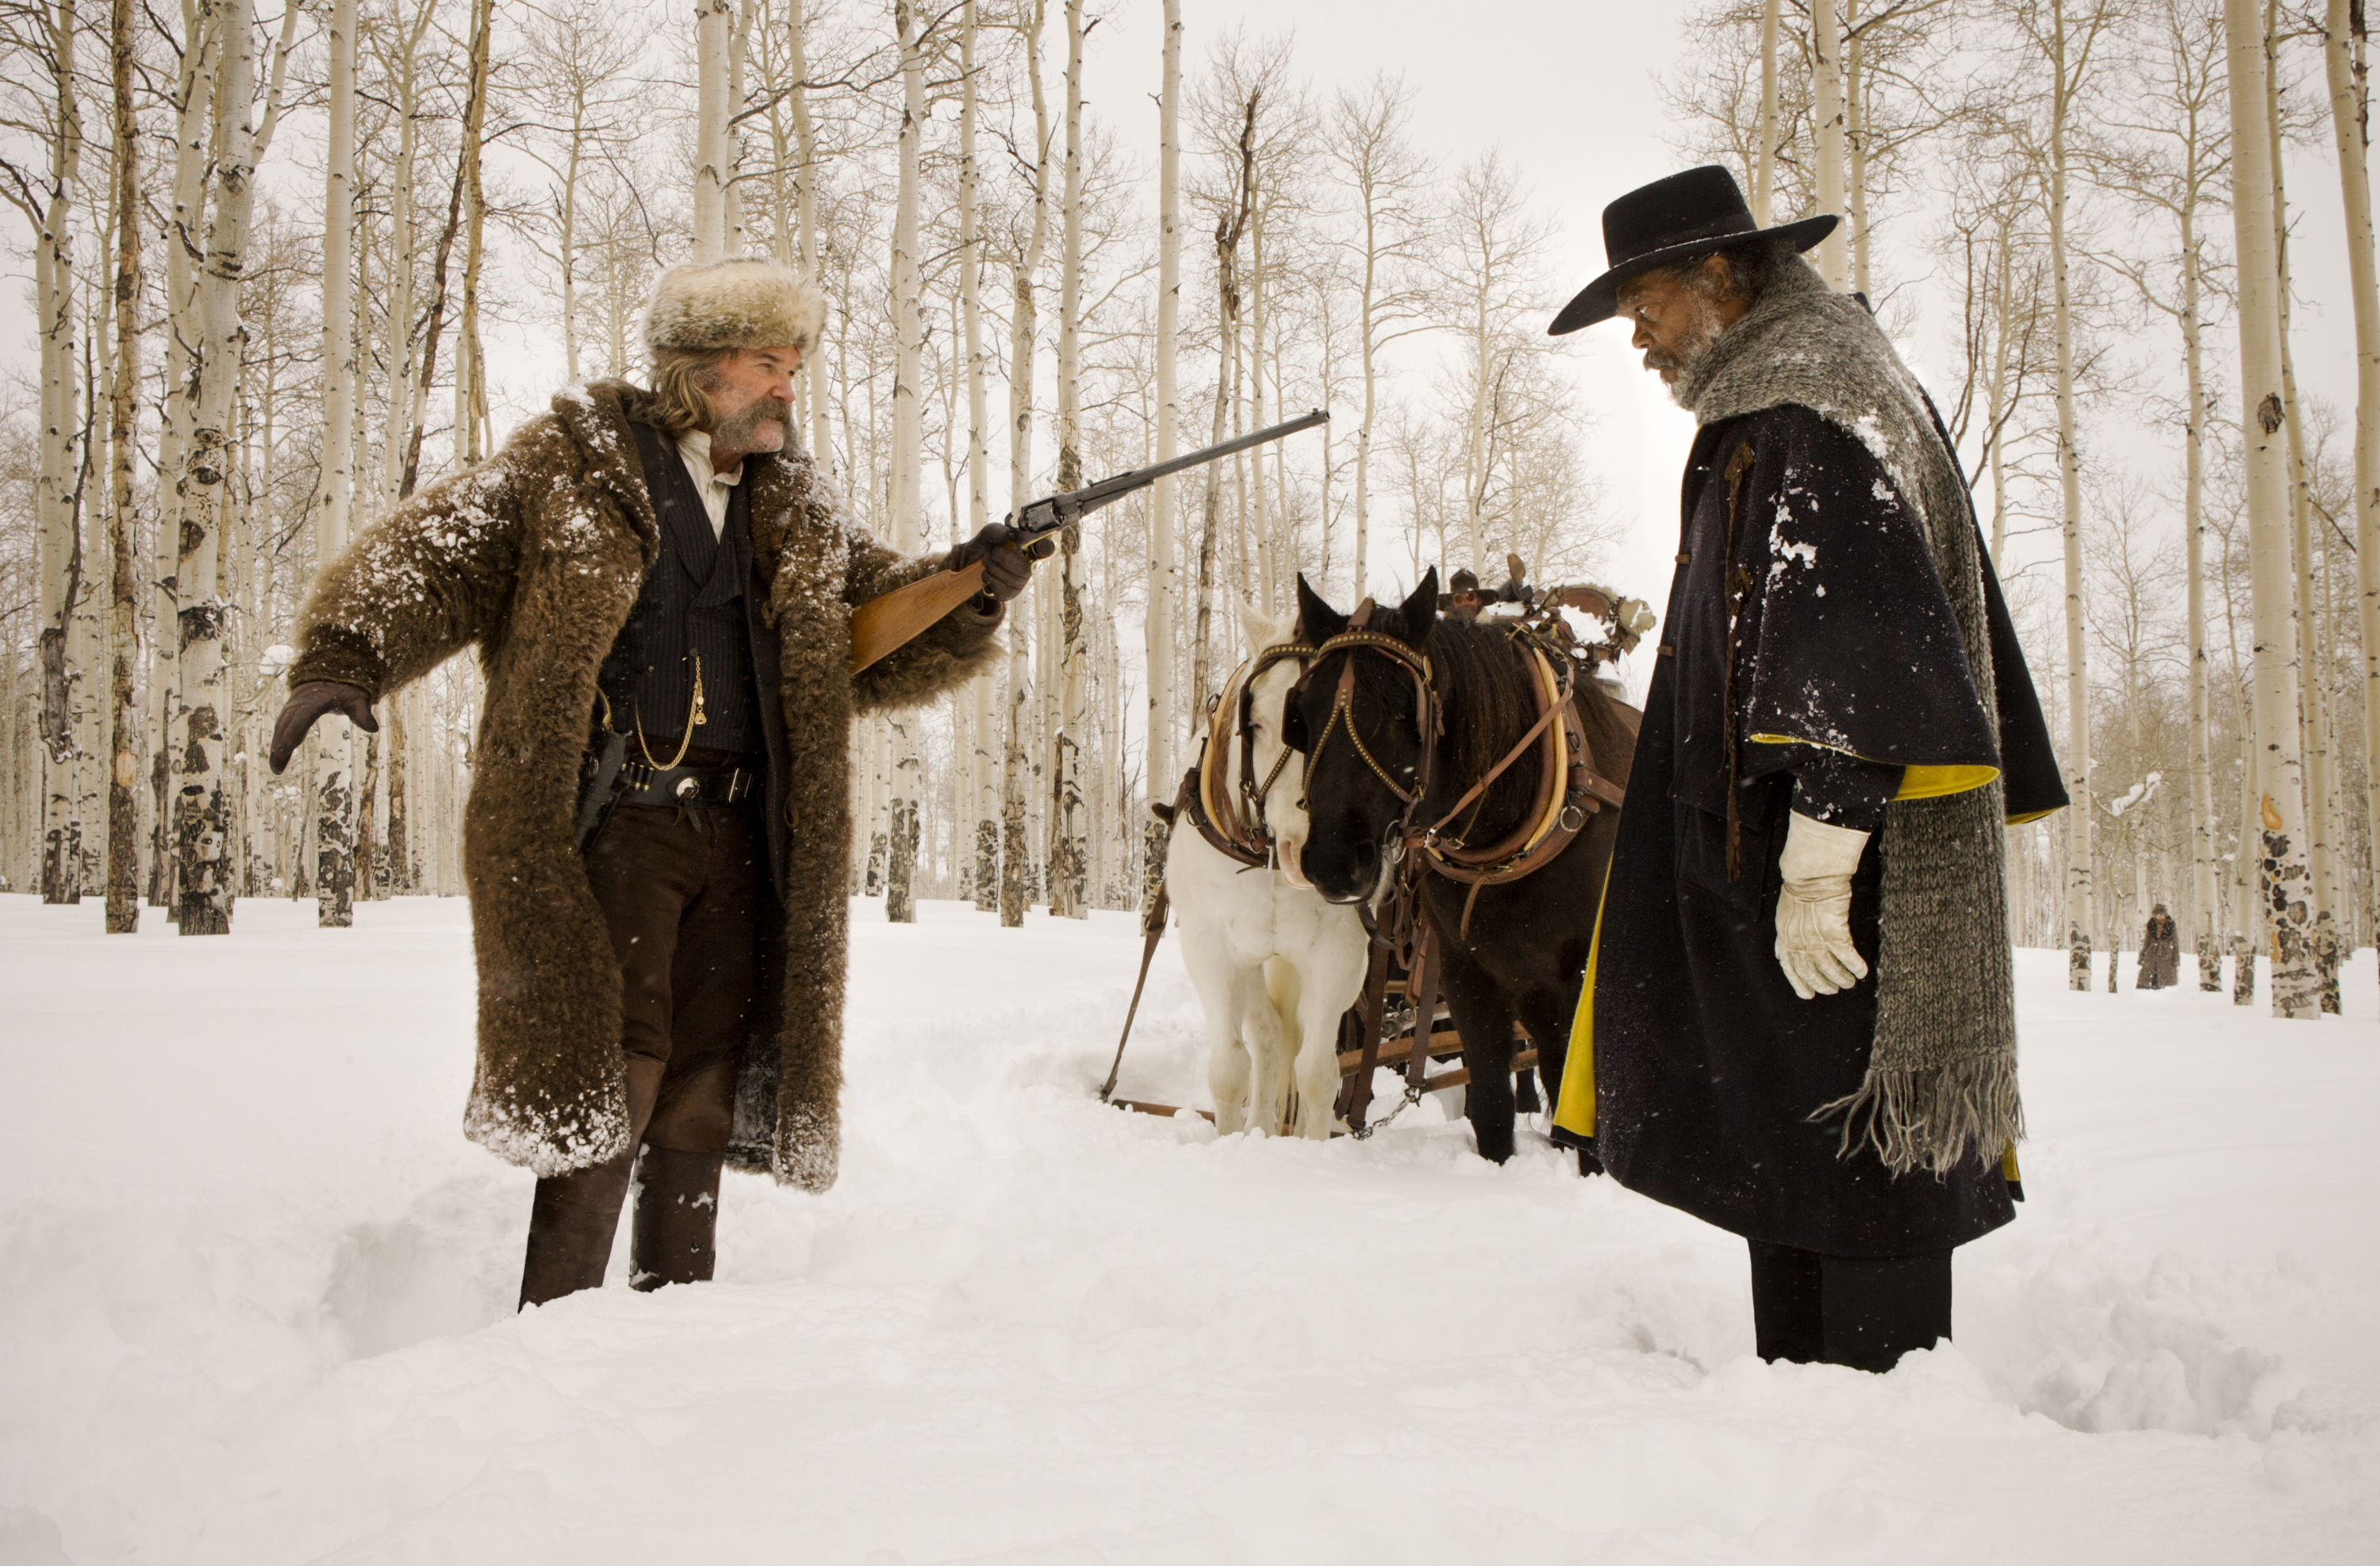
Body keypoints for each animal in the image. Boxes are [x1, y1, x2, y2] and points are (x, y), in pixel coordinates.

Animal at [1161, 600, 1371, 1133]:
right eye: (1254, 721)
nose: (1313, 852)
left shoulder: (1339, 956)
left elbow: (1318, 1074)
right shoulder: (1212, 949)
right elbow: (1230, 1069)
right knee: (1269, 1034)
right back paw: (1259, 1127)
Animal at [1285, 571, 1637, 1157]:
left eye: (1402, 711)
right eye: (1303, 715)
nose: (1332, 862)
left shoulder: (1580, 986)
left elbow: (1579, 1123)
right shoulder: (1468, 974)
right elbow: (1492, 1110)